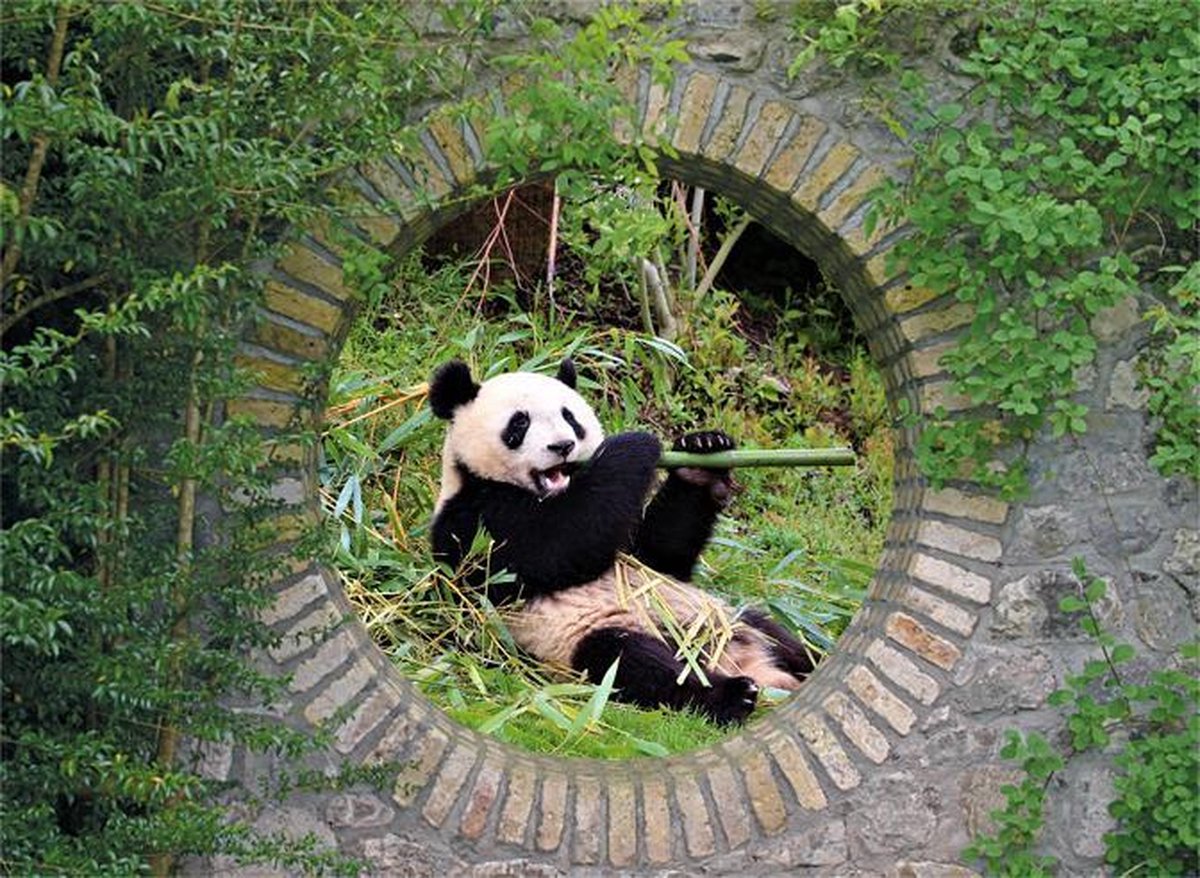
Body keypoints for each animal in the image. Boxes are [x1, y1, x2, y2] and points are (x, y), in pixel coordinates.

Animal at [428, 357, 816, 725]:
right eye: (519, 423)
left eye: (569, 417)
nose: (563, 446)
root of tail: (758, 671)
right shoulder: (473, 519)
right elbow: (557, 542)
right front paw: (633, 444)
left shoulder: (641, 557)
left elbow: (659, 554)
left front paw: (702, 454)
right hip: (585, 638)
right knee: (634, 664)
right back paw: (732, 695)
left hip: (723, 616)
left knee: (784, 638)